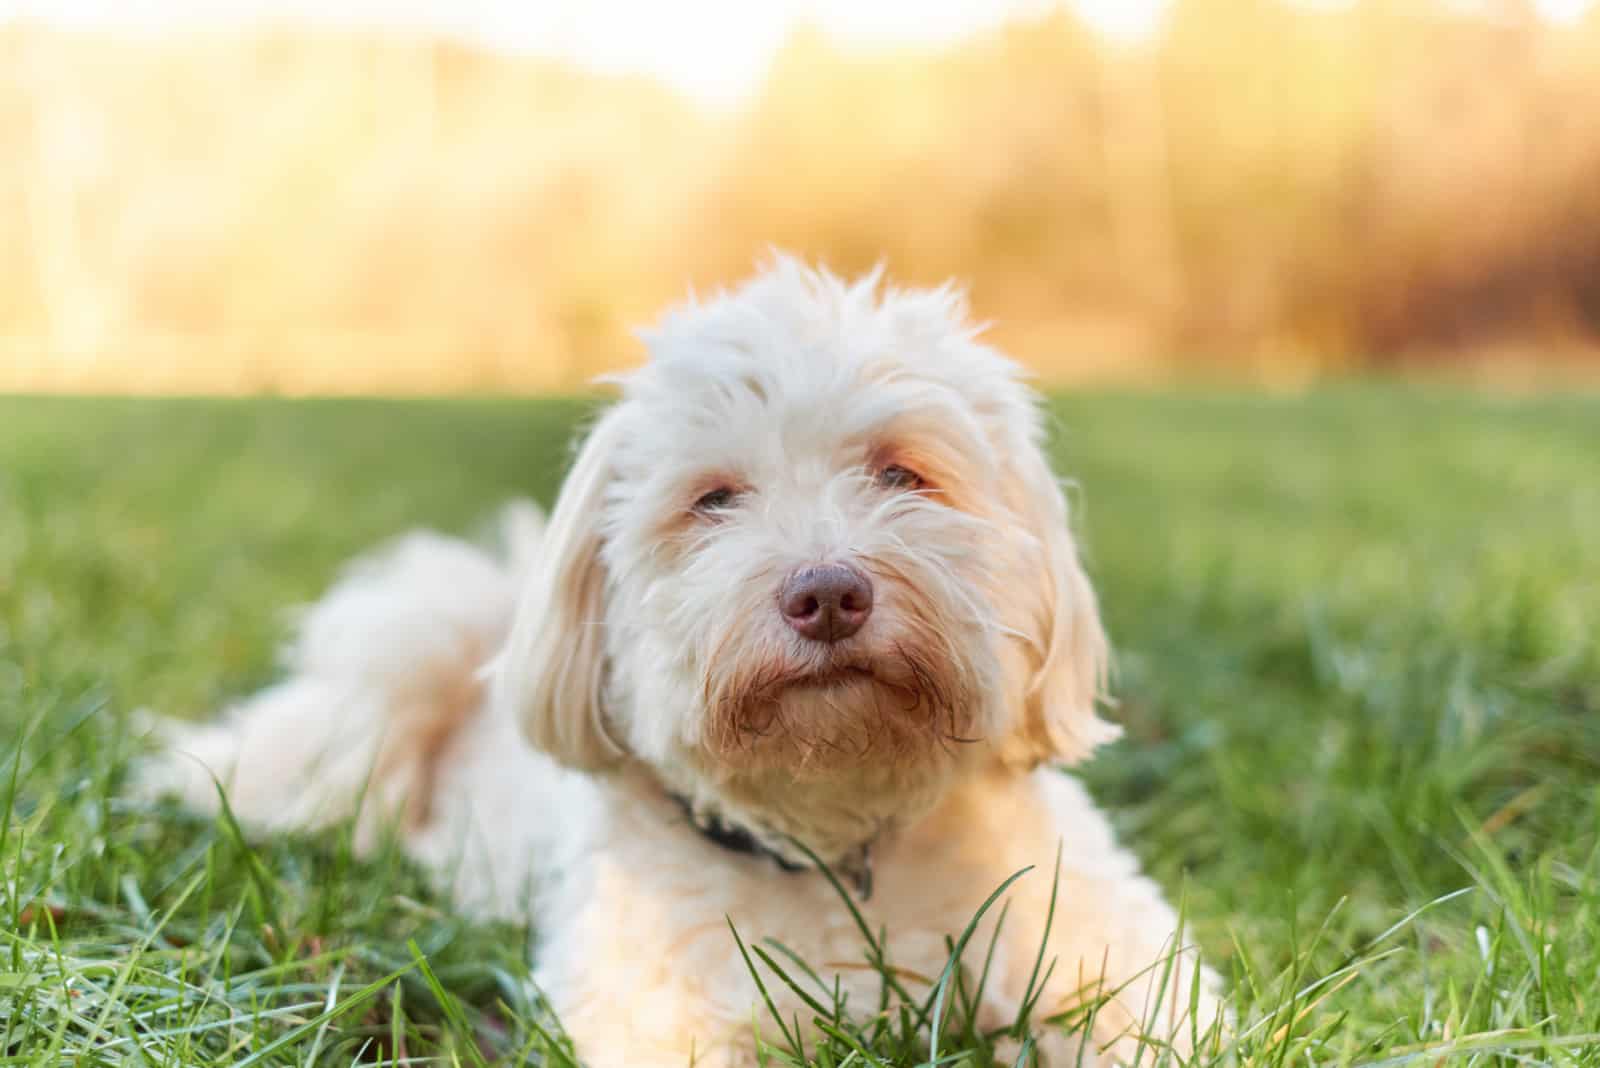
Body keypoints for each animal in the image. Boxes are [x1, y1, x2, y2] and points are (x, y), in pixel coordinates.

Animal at [152, 259, 1222, 1068]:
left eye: (902, 474)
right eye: (714, 500)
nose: (827, 594)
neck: (838, 845)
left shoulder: (1115, 961)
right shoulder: (655, 1014)